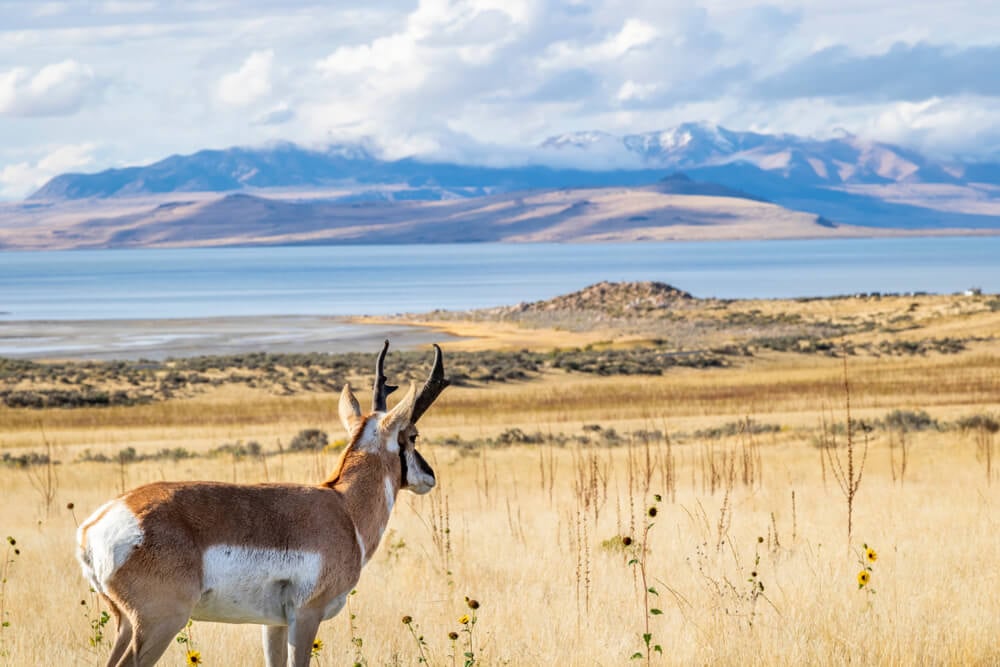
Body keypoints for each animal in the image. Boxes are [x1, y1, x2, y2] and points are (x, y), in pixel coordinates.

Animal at [76, 341, 449, 667]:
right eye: (412, 435)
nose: (430, 476)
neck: (343, 507)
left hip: (126, 624)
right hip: (160, 624)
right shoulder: (306, 617)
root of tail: (94, 527)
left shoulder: (274, 624)